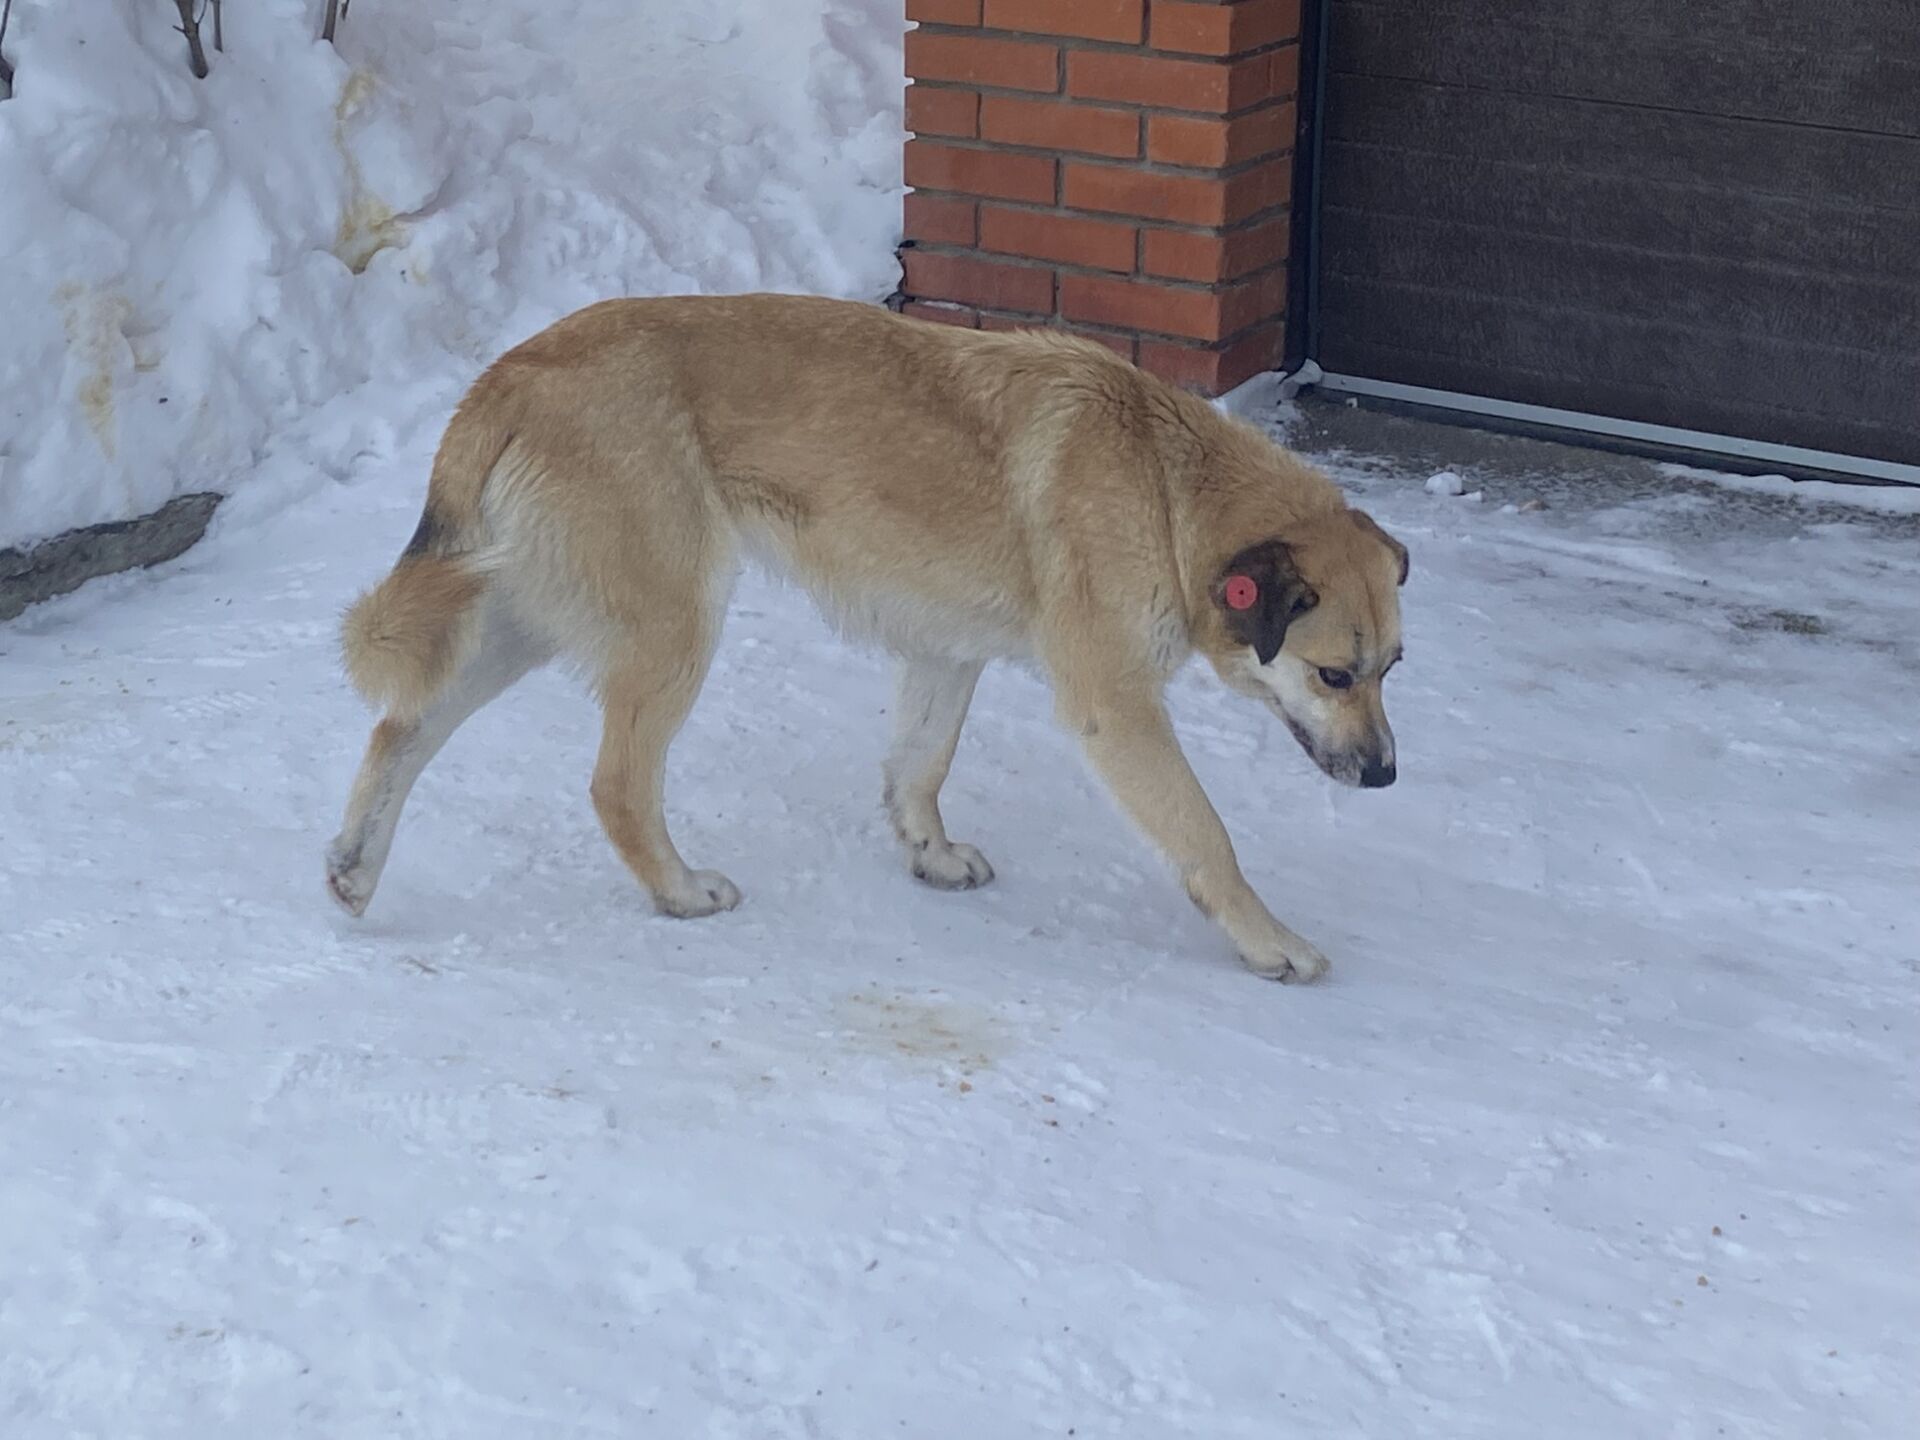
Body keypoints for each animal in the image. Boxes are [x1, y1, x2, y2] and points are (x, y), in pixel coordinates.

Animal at [326, 299, 1413, 990]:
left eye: (1392, 670)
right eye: (1333, 674)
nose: (1387, 776)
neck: (1169, 485)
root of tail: (510, 371)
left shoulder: (945, 655)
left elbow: (918, 768)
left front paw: (929, 855)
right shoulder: (1116, 707)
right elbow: (1206, 838)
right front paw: (1269, 943)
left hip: (525, 619)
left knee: (399, 731)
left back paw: (355, 865)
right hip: (672, 628)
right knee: (617, 785)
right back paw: (680, 893)